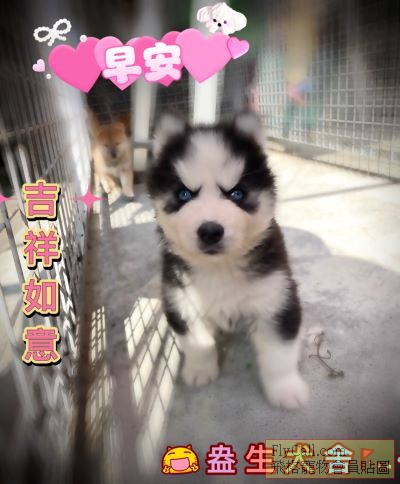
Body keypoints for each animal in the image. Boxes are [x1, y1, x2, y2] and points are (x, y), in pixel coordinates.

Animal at [147, 112, 309, 409]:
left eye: (237, 194)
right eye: (184, 194)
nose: (210, 231)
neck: (219, 268)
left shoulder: (275, 299)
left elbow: (279, 355)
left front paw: (286, 390)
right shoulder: (182, 300)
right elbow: (198, 344)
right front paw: (200, 371)